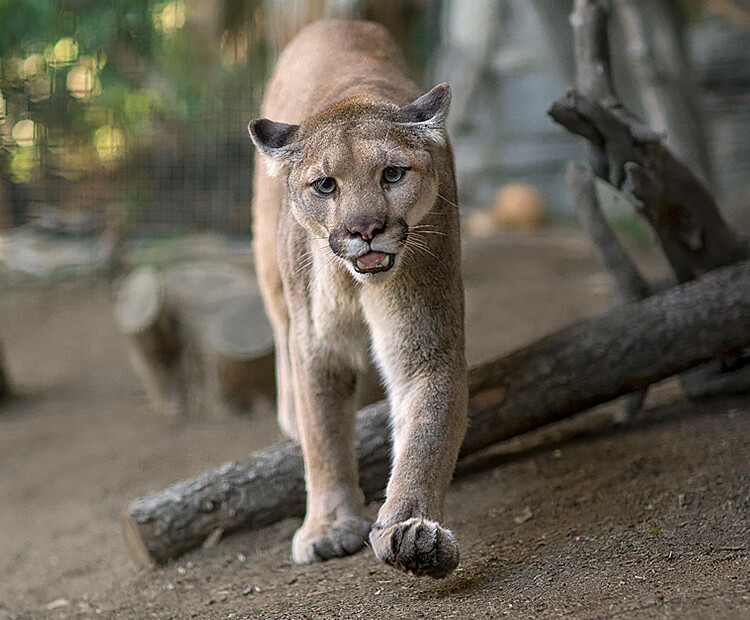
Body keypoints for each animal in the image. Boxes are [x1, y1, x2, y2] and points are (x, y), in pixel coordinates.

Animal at [250, 20, 468, 580]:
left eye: (392, 174)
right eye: (325, 185)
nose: (364, 230)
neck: (356, 283)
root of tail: (331, 22)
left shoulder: (426, 340)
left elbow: (427, 433)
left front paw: (410, 529)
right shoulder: (316, 343)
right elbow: (323, 432)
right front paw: (327, 527)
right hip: (269, 266)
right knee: (278, 328)